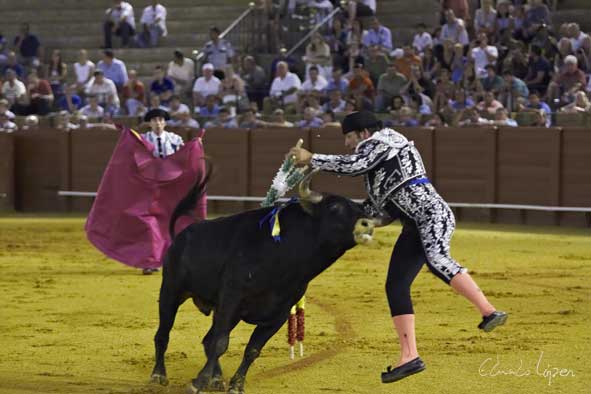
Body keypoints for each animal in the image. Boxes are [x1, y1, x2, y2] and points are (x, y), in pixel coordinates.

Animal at [151, 170, 380, 394]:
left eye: (361, 210)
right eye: (334, 207)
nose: (367, 224)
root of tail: (180, 237)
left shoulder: (279, 314)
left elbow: (252, 349)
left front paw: (236, 385)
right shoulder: (231, 299)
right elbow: (220, 343)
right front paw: (198, 383)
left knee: (208, 339)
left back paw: (216, 380)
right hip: (171, 290)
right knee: (164, 334)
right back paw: (158, 376)